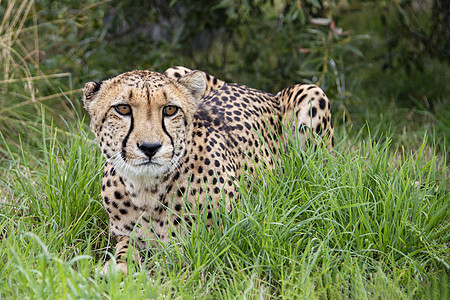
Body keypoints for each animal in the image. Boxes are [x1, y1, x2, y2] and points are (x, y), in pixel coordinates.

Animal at [81, 66, 334, 274]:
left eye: (170, 110)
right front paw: (117, 268)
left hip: (311, 94)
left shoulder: (223, 234)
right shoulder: (125, 234)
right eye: (123, 108)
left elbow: (177, 256)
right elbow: (126, 249)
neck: (148, 189)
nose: (150, 147)